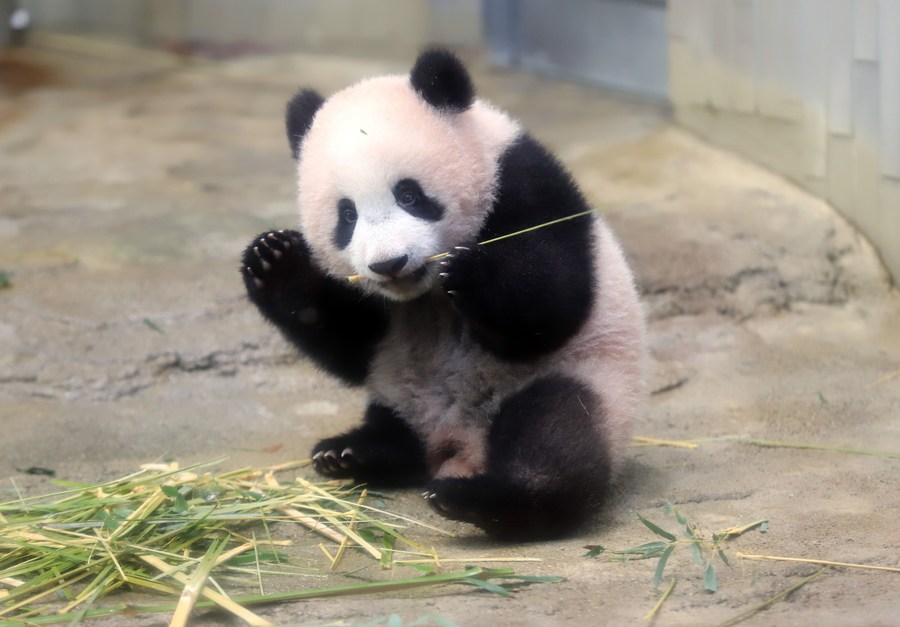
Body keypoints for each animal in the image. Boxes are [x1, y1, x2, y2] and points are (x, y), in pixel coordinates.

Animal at [241, 49, 645, 540]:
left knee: (554, 433)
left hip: (585, 379)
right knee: (396, 434)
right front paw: (275, 260)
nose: (389, 263)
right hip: (398, 391)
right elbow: (351, 345)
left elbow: (553, 304)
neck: (425, 294)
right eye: (347, 215)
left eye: (409, 195)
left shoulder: (524, 182)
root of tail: (455, 445)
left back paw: (480, 499)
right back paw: (351, 452)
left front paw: (470, 272)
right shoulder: (379, 323)